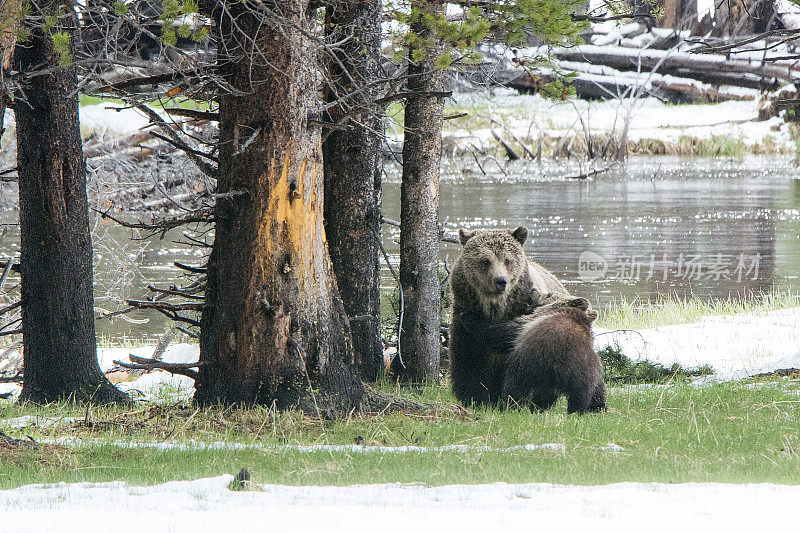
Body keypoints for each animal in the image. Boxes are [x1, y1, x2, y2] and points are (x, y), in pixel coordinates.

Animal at [446, 227, 580, 406]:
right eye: (485, 261)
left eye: (507, 260)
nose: (500, 281)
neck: (495, 309)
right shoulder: (465, 315)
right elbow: (468, 363)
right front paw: (473, 397)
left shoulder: (523, 314)